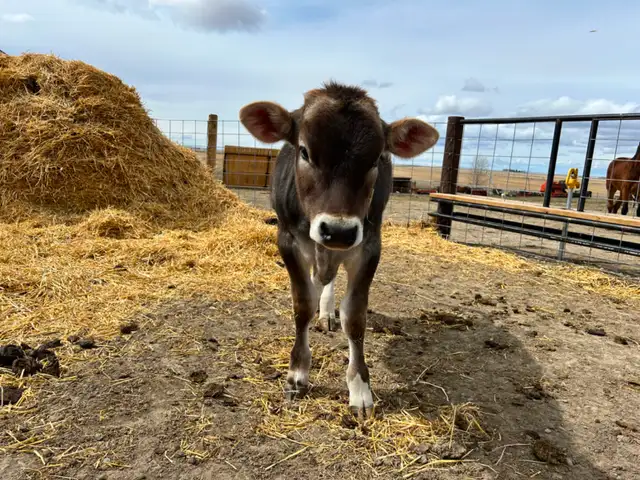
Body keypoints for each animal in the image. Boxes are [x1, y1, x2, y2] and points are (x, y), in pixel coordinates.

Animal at [239, 81, 439, 418]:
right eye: (304, 151)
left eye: (375, 159)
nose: (339, 230)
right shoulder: (287, 240)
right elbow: (302, 305)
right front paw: (297, 373)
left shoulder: (369, 246)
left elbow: (355, 317)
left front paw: (360, 389)